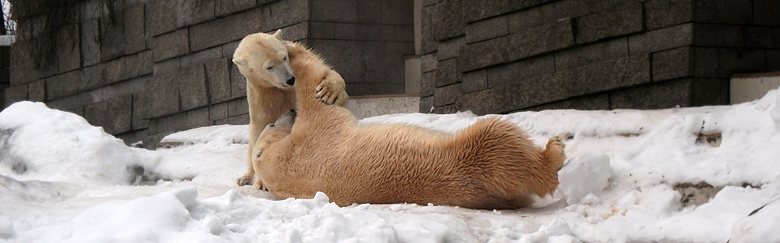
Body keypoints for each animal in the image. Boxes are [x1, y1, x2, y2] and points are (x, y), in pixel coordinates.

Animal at [232, 29, 348, 186]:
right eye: (269, 67)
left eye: (284, 57)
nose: (290, 79)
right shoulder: (261, 93)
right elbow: (261, 127)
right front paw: (261, 182)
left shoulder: (303, 60)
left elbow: (327, 73)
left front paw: (328, 92)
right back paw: (245, 178)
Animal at [250, 31, 568, 210]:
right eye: (271, 124)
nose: (289, 114)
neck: (283, 167)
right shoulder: (311, 139)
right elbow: (312, 92)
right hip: (477, 158)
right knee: (501, 140)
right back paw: (554, 150)